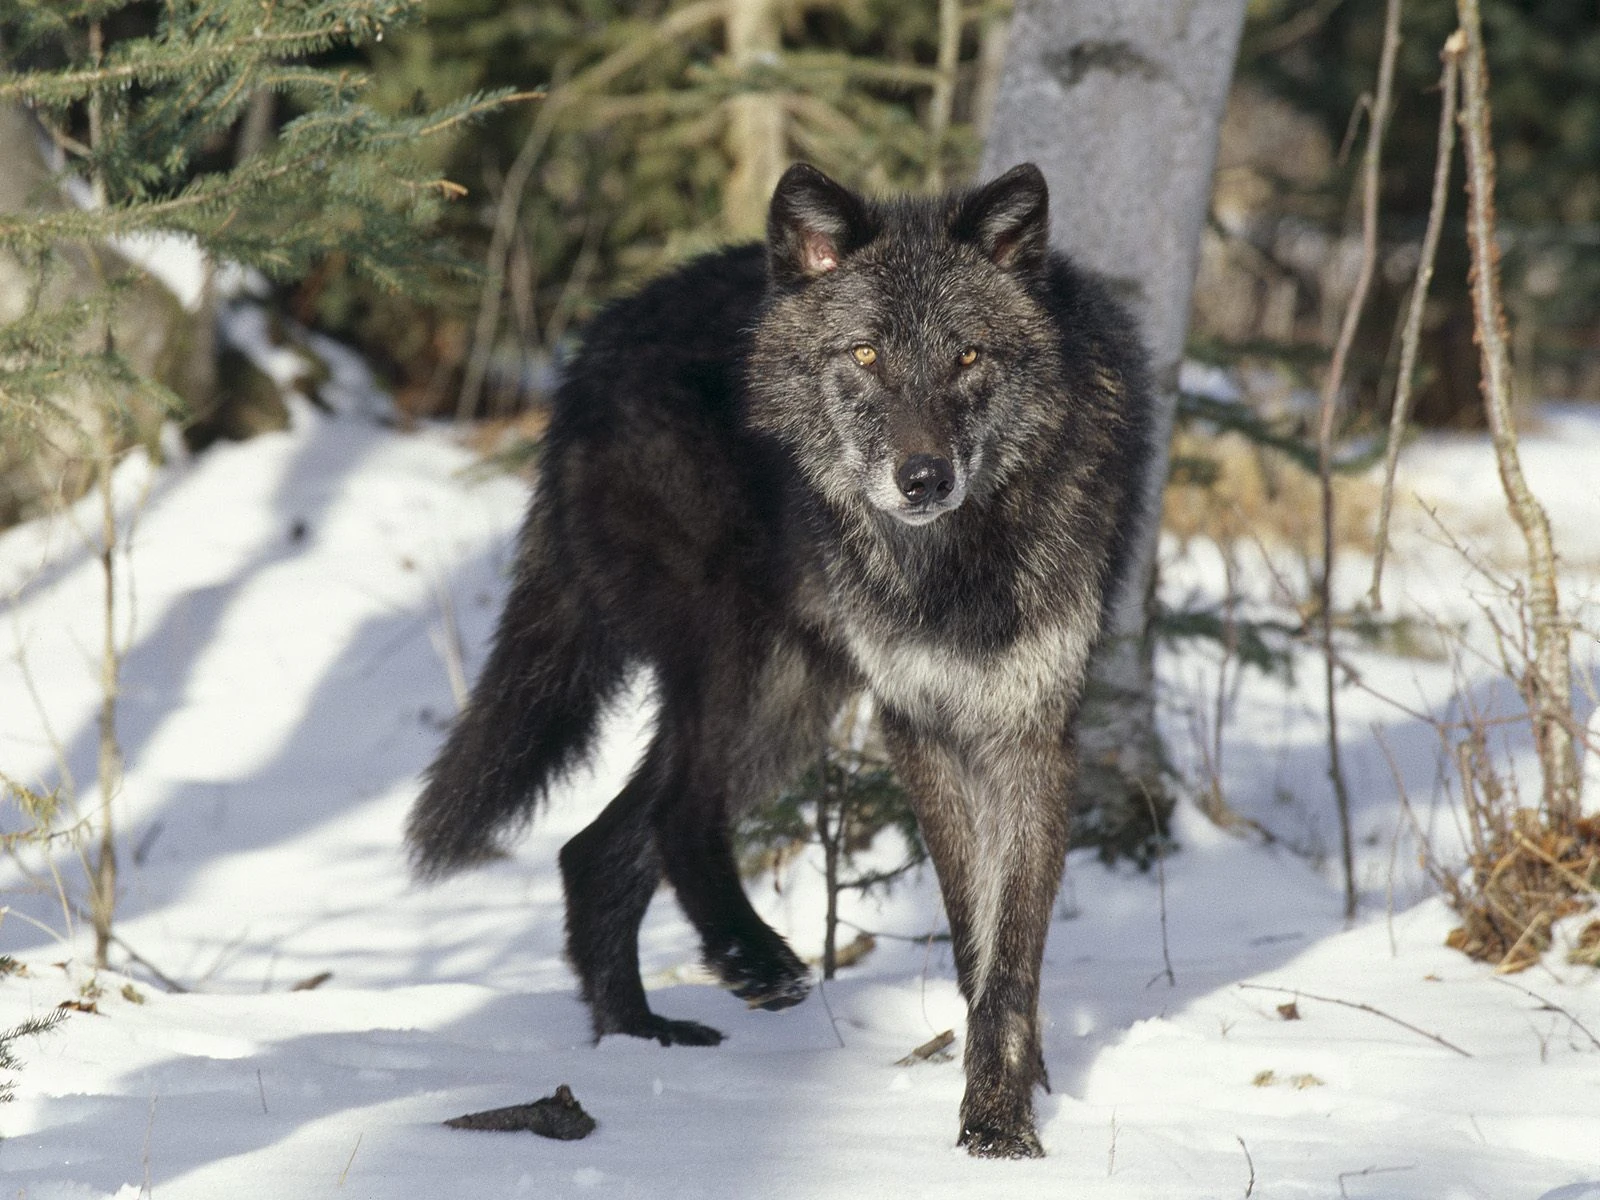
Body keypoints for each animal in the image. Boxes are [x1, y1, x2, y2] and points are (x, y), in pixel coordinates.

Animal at [406, 162, 1153, 1158]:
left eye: (968, 358)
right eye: (866, 355)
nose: (924, 479)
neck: (952, 564)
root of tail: (591, 350)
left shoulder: (1031, 733)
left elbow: (1010, 955)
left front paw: (1006, 1111)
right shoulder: (916, 724)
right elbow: (972, 932)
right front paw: (997, 1118)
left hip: (789, 707)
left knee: (596, 845)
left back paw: (637, 1039)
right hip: (738, 661)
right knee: (677, 812)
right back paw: (750, 961)